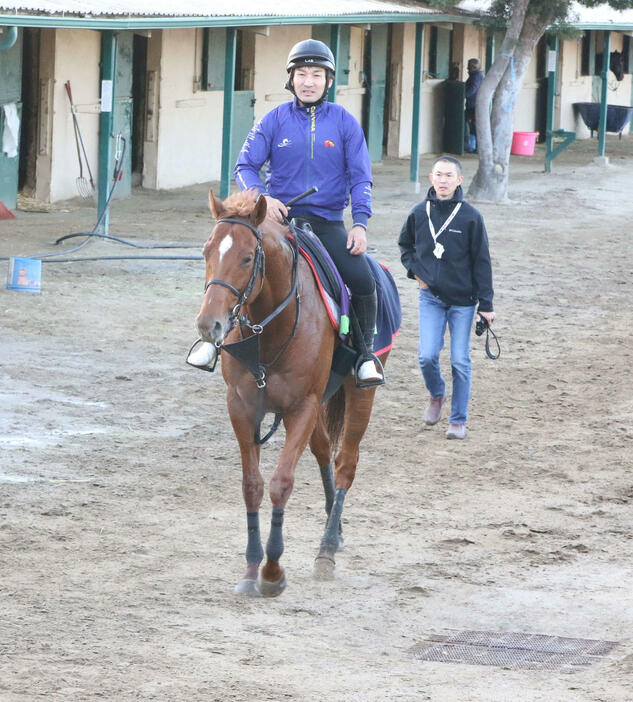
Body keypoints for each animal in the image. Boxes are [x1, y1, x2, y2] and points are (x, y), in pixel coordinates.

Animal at [195, 188, 388, 600]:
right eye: (207, 251)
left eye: (247, 257)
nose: (208, 325)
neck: (268, 331)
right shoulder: (241, 406)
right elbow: (252, 485)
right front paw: (251, 568)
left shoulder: (302, 407)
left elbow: (281, 483)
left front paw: (272, 571)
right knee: (324, 453)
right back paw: (336, 532)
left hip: (359, 395)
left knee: (346, 464)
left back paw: (327, 549)